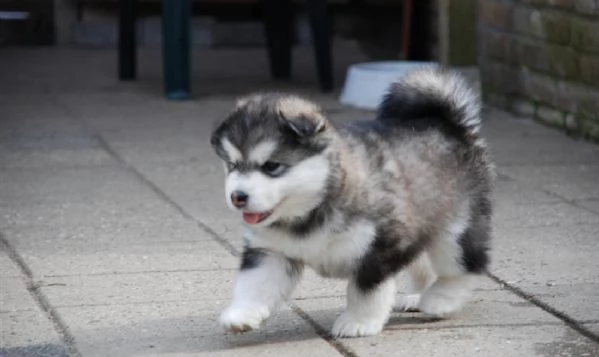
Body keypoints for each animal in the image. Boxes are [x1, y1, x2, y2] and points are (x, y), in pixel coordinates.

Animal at [213, 67, 494, 336]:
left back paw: (440, 299)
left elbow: (364, 290)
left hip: (456, 227)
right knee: (422, 263)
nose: (237, 197)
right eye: (232, 165)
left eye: (271, 166)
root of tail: (447, 124)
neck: (313, 207)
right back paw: (415, 296)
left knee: (465, 265)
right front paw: (241, 314)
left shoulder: (379, 247)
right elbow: (255, 284)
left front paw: (359, 322)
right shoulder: (271, 251)